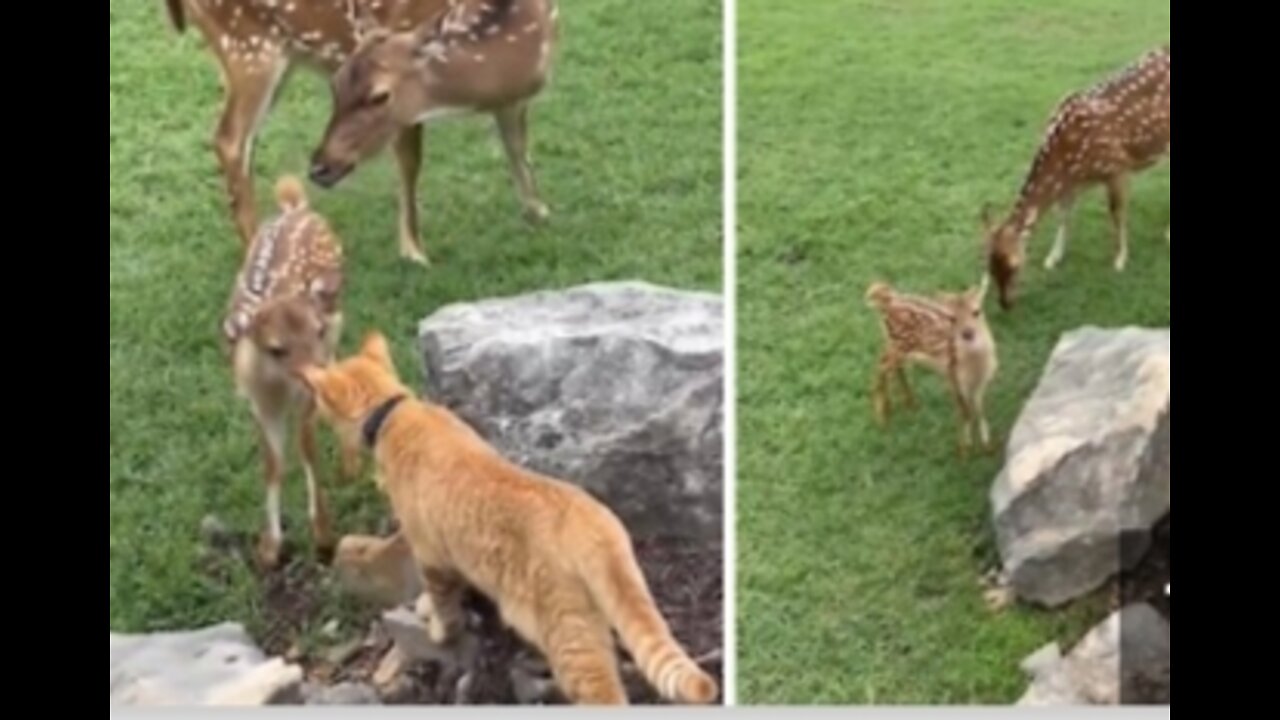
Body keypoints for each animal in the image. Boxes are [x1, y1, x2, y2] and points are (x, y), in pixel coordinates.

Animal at [220, 174, 350, 566]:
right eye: (276, 348)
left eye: (317, 329)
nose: (318, 373)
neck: (276, 384)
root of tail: (296, 207)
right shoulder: (257, 402)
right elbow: (272, 463)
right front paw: (269, 548)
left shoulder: (307, 392)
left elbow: (307, 447)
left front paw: (324, 538)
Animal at [299, 333, 721, 702]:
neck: (396, 412)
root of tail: (588, 518)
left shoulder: (430, 553)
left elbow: (443, 604)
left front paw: (437, 627)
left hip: (568, 638)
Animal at [308, 0, 560, 263]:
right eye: (335, 84)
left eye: (380, 96)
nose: (319, 168)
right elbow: (410, 166)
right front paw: (414, 254)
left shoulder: (513, 102)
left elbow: (518, 151)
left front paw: (539, 212)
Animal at [860, 274, 998, 453]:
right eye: (952, 318)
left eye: (977, 311)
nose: (967, 333)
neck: (975, 367)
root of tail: (888, 299)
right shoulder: (952, 377)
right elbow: (965, 411)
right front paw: (964, 449)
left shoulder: (980, 383)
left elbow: (979, 410)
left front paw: (988, 446)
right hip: (899, 345)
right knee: (881, 366)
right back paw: (883, 416)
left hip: (896, 346)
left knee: (889, 364)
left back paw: (910, 403)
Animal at [977, 44, 1172, 308]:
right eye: (989, 267)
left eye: (1015, 265)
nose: (1006, 304)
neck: (1070, 160)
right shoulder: (1072, 183)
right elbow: (1064, 214)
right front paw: (1053, 257)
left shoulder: (1118, 166)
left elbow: (1117, 213)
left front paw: (1120, 260)